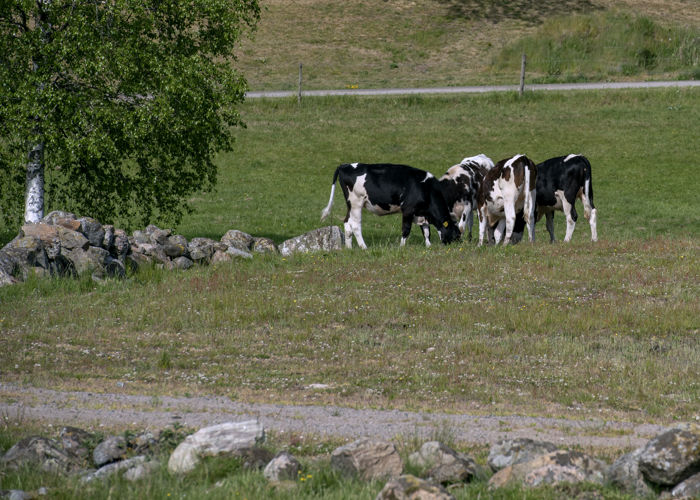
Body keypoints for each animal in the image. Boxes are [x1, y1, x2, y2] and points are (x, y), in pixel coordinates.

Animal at [320, 162, 462, 248]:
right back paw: (364, 247)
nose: (459, 245)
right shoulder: (408, 209)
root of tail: (344, 165)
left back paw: (349, 248)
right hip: (356, 203)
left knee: (346, 222)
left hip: (350, 204)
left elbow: (426, 231)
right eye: (456, 235)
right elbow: (406, 229)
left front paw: (428, 246)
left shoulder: (421, 213)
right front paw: (402, 247)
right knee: (355, 225)